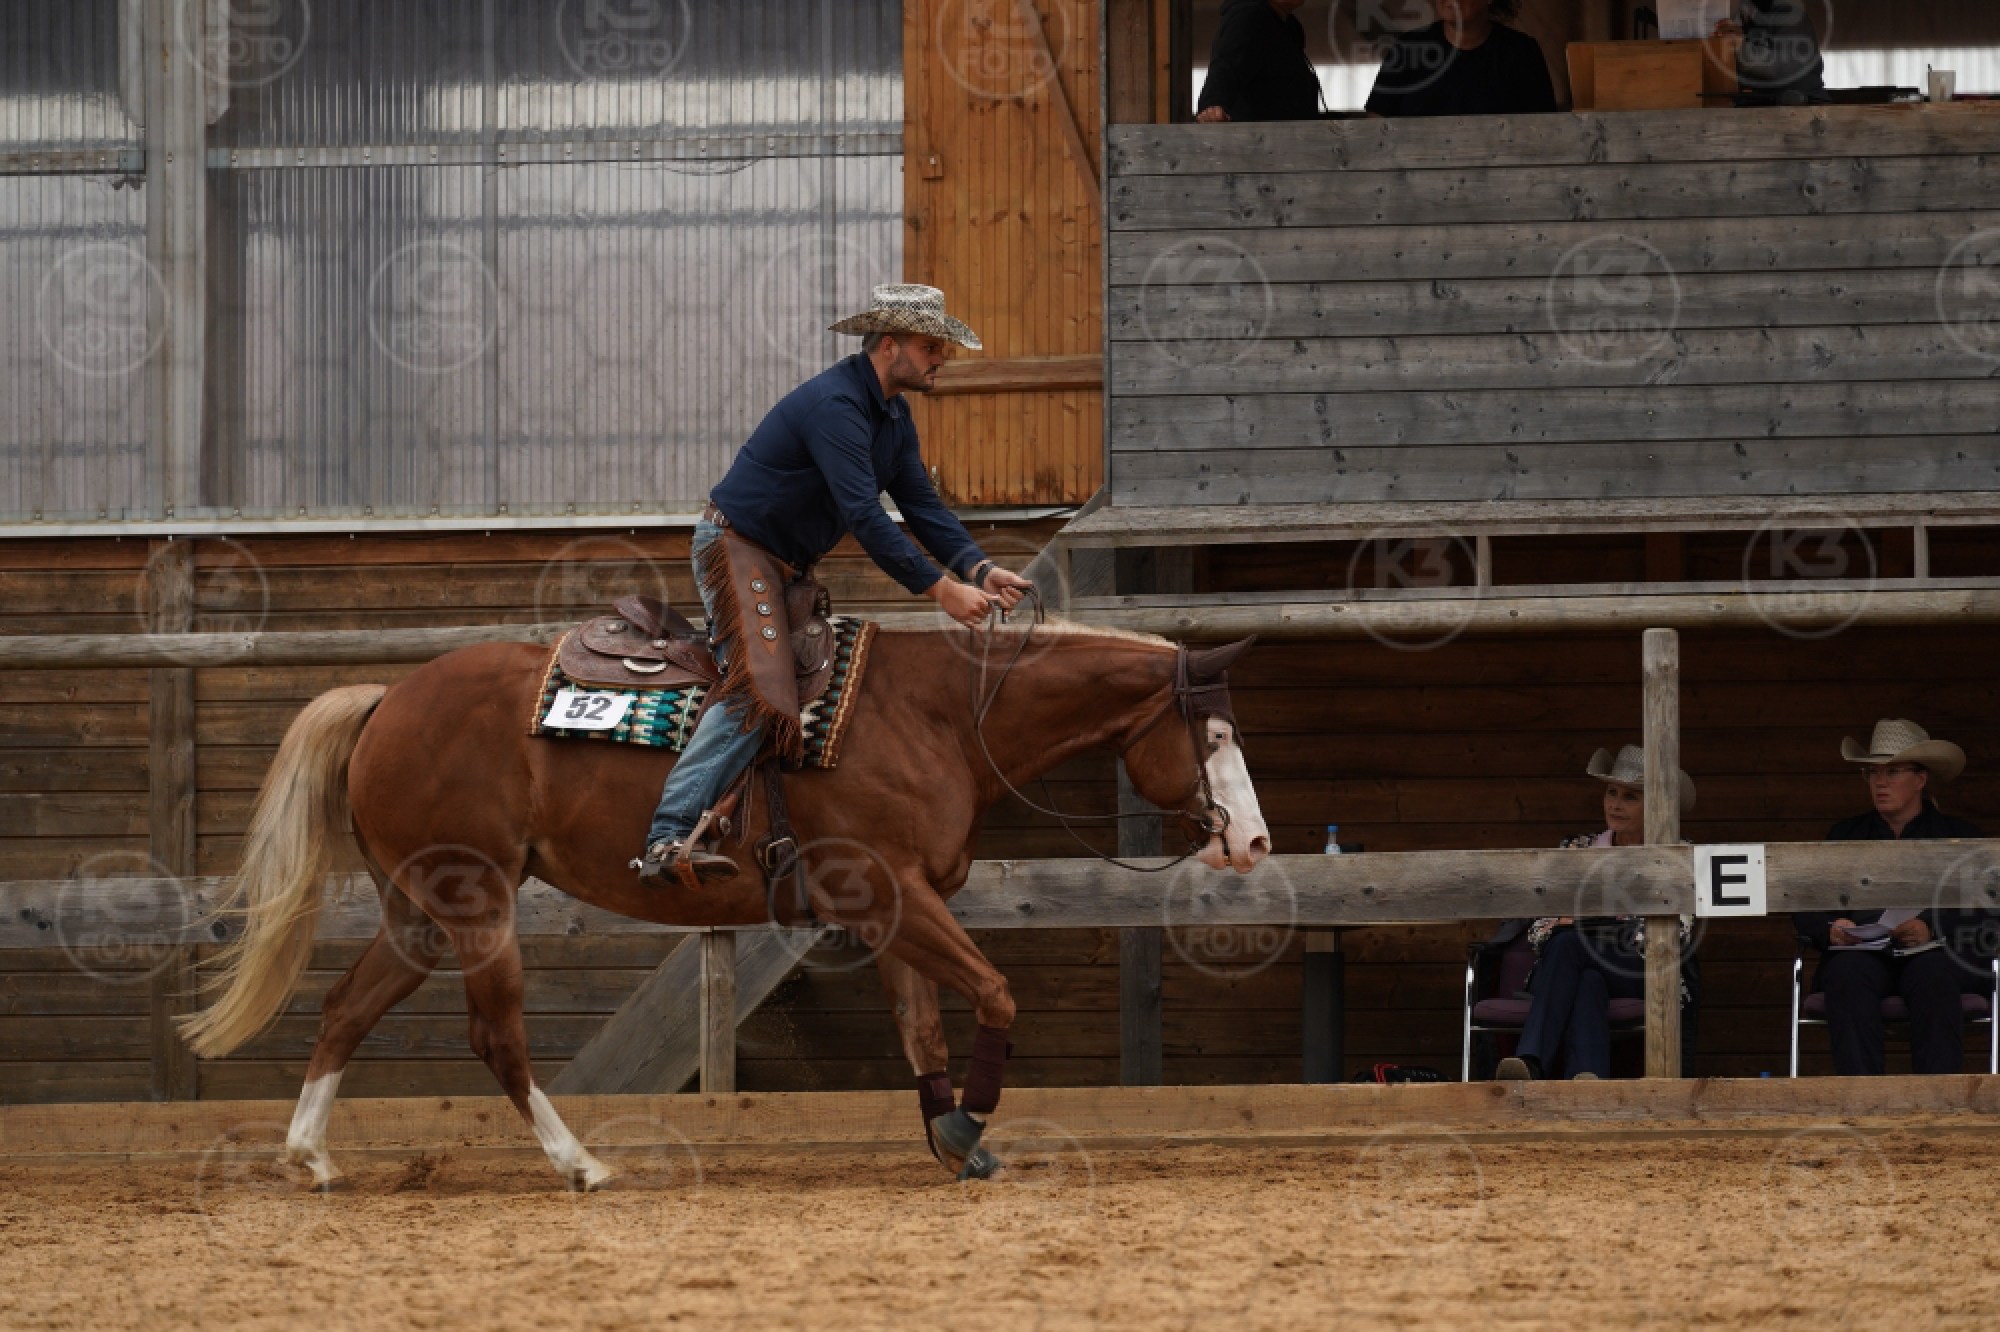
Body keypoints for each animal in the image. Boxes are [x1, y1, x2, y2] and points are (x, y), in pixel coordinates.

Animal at [177, 617, 1270, 1190]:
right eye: (1213, 736)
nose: (1253, 843)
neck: (932, 717)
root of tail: (385, 700)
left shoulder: (895, 906)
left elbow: (921, 1029)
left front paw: (947, 1135)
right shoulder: (890, 890)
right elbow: (995, 992)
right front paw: (966, 1131)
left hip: (419, 911)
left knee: (343, 1009)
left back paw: (311, 1157)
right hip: (476, 901)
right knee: (496, 1038)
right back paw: (580, 1163)